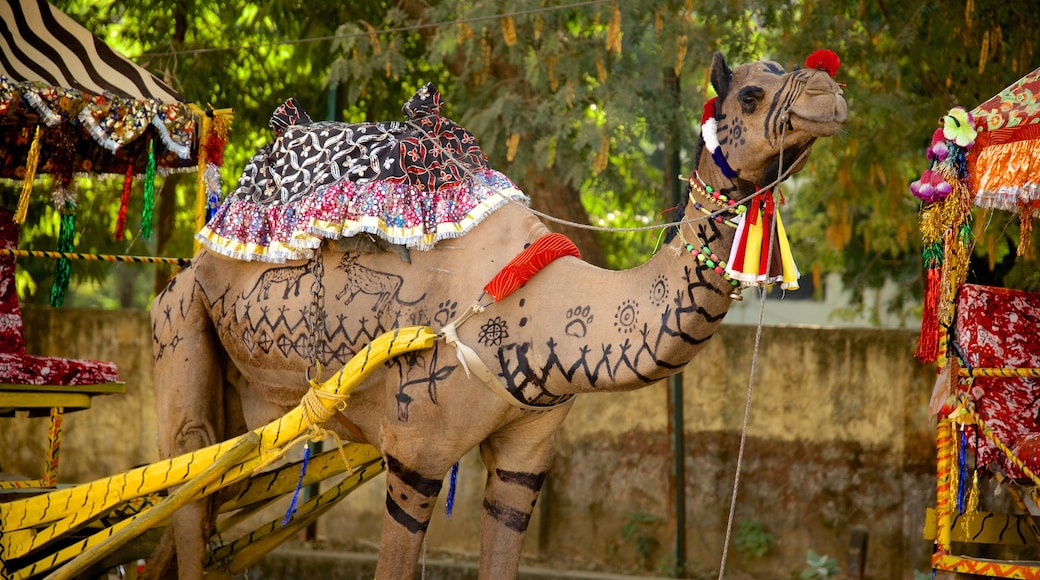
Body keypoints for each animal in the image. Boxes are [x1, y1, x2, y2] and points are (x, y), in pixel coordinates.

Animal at [146, 52, 844, 577]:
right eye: (751, 93)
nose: (831, 92)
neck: (543, 309)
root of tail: (189, 262)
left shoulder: (525, 455)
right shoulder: (417, 454)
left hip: (242, 395)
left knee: (196, 505)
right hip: (180, 324)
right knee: (187, 478)